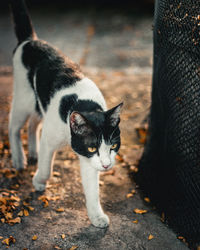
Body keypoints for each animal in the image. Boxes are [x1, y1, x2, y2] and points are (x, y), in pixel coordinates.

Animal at [9, 0, 122, 228]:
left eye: (114, 146)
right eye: (92, 146)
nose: (107, 165)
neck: (84, 103)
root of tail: (30, 40)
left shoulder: (90, 160)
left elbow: (92, 189)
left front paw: (96, 216)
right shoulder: (54, 138)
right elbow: (46, 166)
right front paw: (38, 181)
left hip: (39, 104)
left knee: (33, 124)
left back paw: (32, 152)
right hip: (24, 98)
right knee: (14, 126)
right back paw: (19, 159)